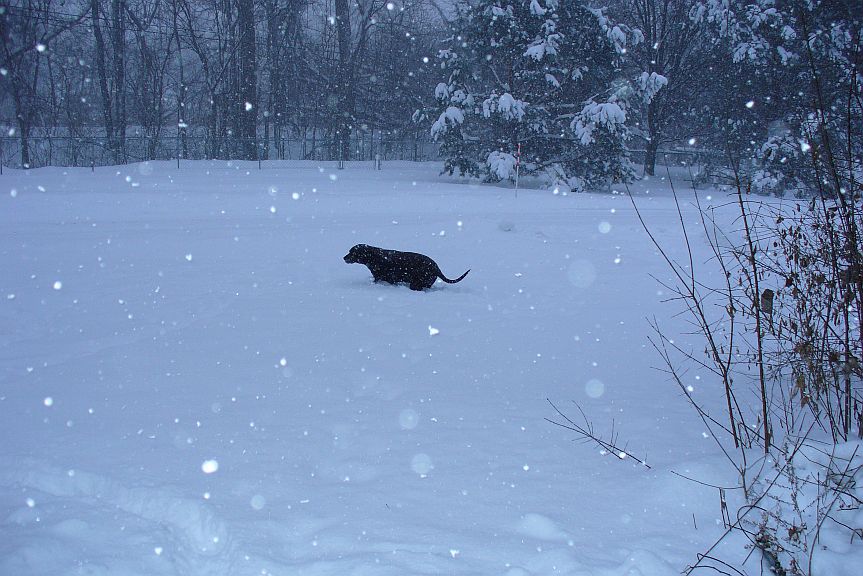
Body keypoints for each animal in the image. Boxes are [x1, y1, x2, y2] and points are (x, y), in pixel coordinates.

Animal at [342, 243, 470, 290]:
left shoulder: (386, 278)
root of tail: (436, 267)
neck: (374, 257)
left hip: (416, 283)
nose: (344, 257)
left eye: (352, 252)